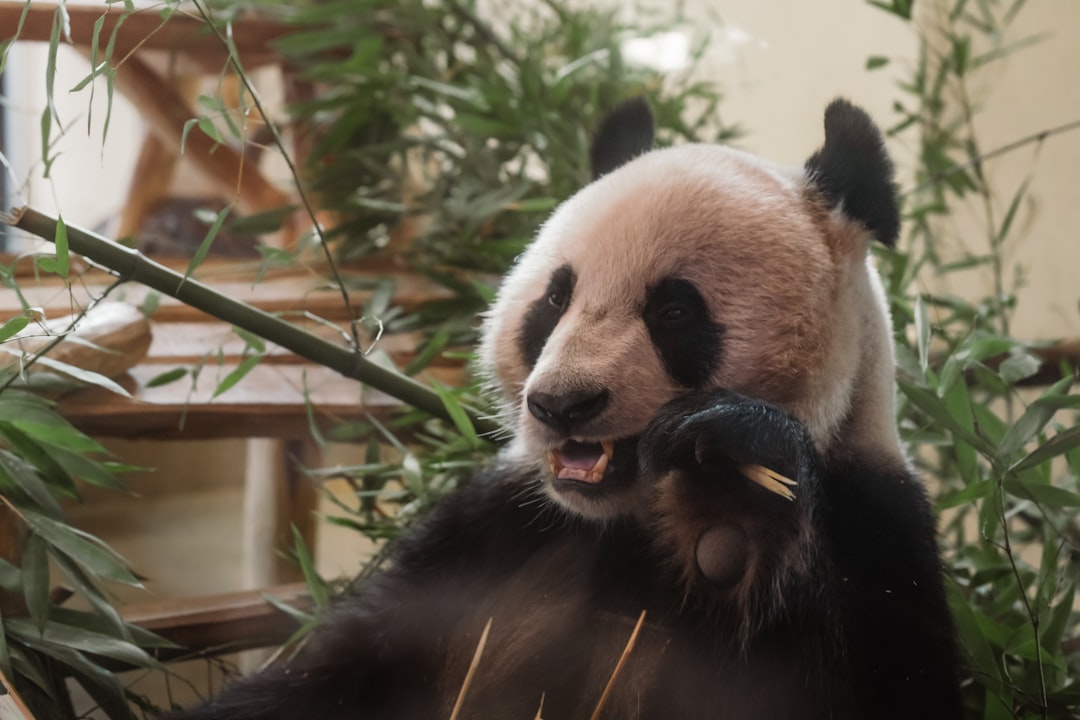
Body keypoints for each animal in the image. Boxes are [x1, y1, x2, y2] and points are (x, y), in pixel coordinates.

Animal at [166, 98, 962, 719]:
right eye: (555, 298)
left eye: (675, 310)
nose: (561, 404)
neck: (627, 522)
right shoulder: (490, 529)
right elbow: (329, 673)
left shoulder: (876, 527)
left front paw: (735, 504)